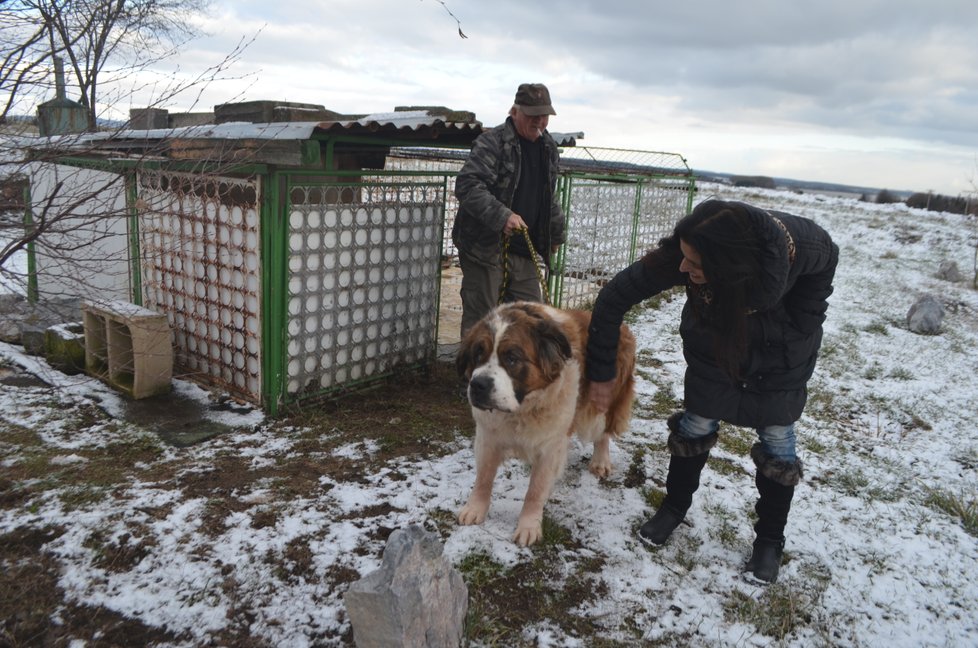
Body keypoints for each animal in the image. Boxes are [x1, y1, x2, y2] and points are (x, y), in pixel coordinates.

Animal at [456, 302, 636, 544]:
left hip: (600, 403)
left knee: (602, 433)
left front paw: (528, 526)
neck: (522, 409)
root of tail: (623, 327)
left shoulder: (550, 447)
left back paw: (600, 461)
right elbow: (483, 478)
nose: (478, 385)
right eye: (478, 354)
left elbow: (535, 490)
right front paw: (475, 509)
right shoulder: (488, 437)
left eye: (512, 358)